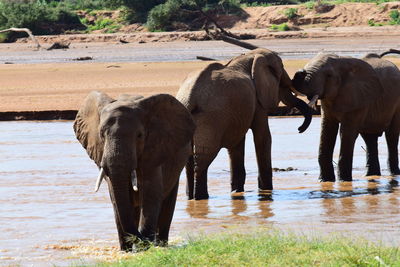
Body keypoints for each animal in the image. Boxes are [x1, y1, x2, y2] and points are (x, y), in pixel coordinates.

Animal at [74, 91, 195, 251]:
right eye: (101, 134)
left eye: (139, 135)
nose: (141, 238)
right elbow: (116, 197)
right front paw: (127, 251)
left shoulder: (155, 149)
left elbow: (151, 193)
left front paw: (146, 247)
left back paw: (161, 244)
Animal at [177, 48, 312, 200]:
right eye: (282, 67)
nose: (299, 129)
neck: (249, 56)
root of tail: (189, 97)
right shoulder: (258, 101)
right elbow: (263, 138)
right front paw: (266, 191)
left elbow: (237, 145)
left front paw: (237, 191)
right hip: (210, 120)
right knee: (202, 159)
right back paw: (201, 197)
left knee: (189, 160)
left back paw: (191, 198)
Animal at [290, 50, 400, 182]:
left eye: (329, 75)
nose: (301, 71)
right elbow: (327, 131)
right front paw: (325, 181)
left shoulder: (357, 98)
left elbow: (346, 133)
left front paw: (343, 181)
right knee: (369, 138)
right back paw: (370, 175)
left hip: (397, 103)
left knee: (391, 136)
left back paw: (393, 174)